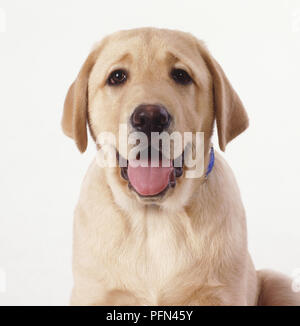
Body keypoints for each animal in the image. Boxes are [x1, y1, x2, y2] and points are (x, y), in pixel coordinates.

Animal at [61, 28, 300, 306]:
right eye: (117, 77)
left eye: (181, 75)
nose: (150, 118)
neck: (154, 219)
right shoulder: (94, 293)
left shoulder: (221, 294)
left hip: (280, 283)